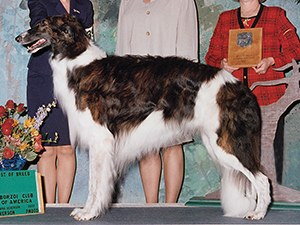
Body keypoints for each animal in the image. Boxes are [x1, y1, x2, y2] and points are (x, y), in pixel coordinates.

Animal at [15, 13, 270, 220]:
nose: (18, 37)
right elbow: (94, 182)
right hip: (216, 142)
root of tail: (238, 85)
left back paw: (258, 213)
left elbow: (95, 184)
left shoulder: (100, 139)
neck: (77, 60)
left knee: (262, 179)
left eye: (42, 24)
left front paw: (89, 213)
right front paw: (87, 210)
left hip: (227, 143)